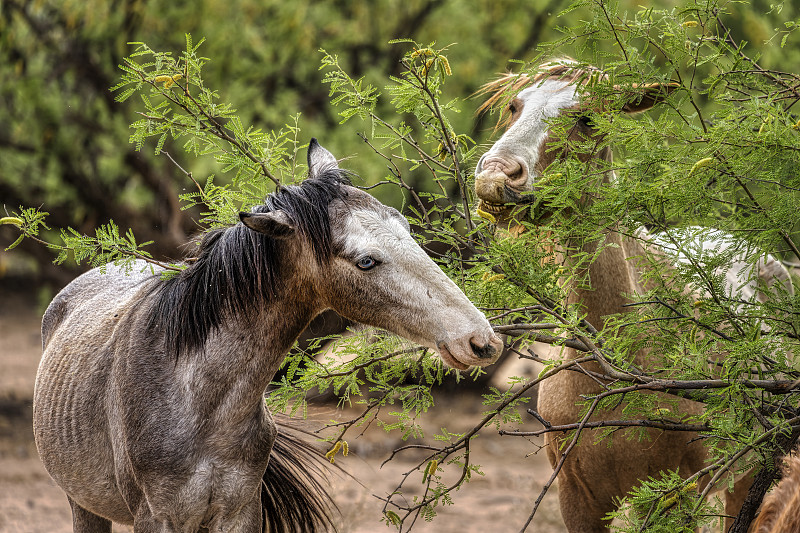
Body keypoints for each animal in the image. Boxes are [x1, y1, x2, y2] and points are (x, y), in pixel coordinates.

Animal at [37, 139, 504, 528]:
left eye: (406, 227)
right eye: (366, 261)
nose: (482, 340)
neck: (198, 398)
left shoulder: (240, 512)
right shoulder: (158, 518)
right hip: (82, 505)